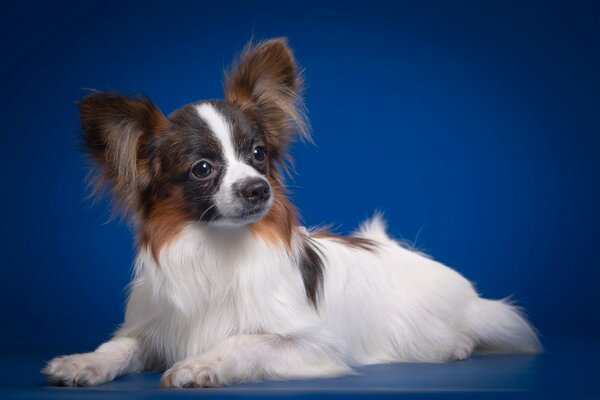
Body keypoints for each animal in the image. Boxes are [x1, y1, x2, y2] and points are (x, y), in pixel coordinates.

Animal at [42, 36, 540, 388]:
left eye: (258, 154)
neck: (217, 246)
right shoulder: (151, 328)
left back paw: (457, 345)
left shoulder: (317, 345)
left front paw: (200, 364)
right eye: (202, 169)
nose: (258, 188)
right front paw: (82, 362)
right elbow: (119, 346)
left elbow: (244, 339)